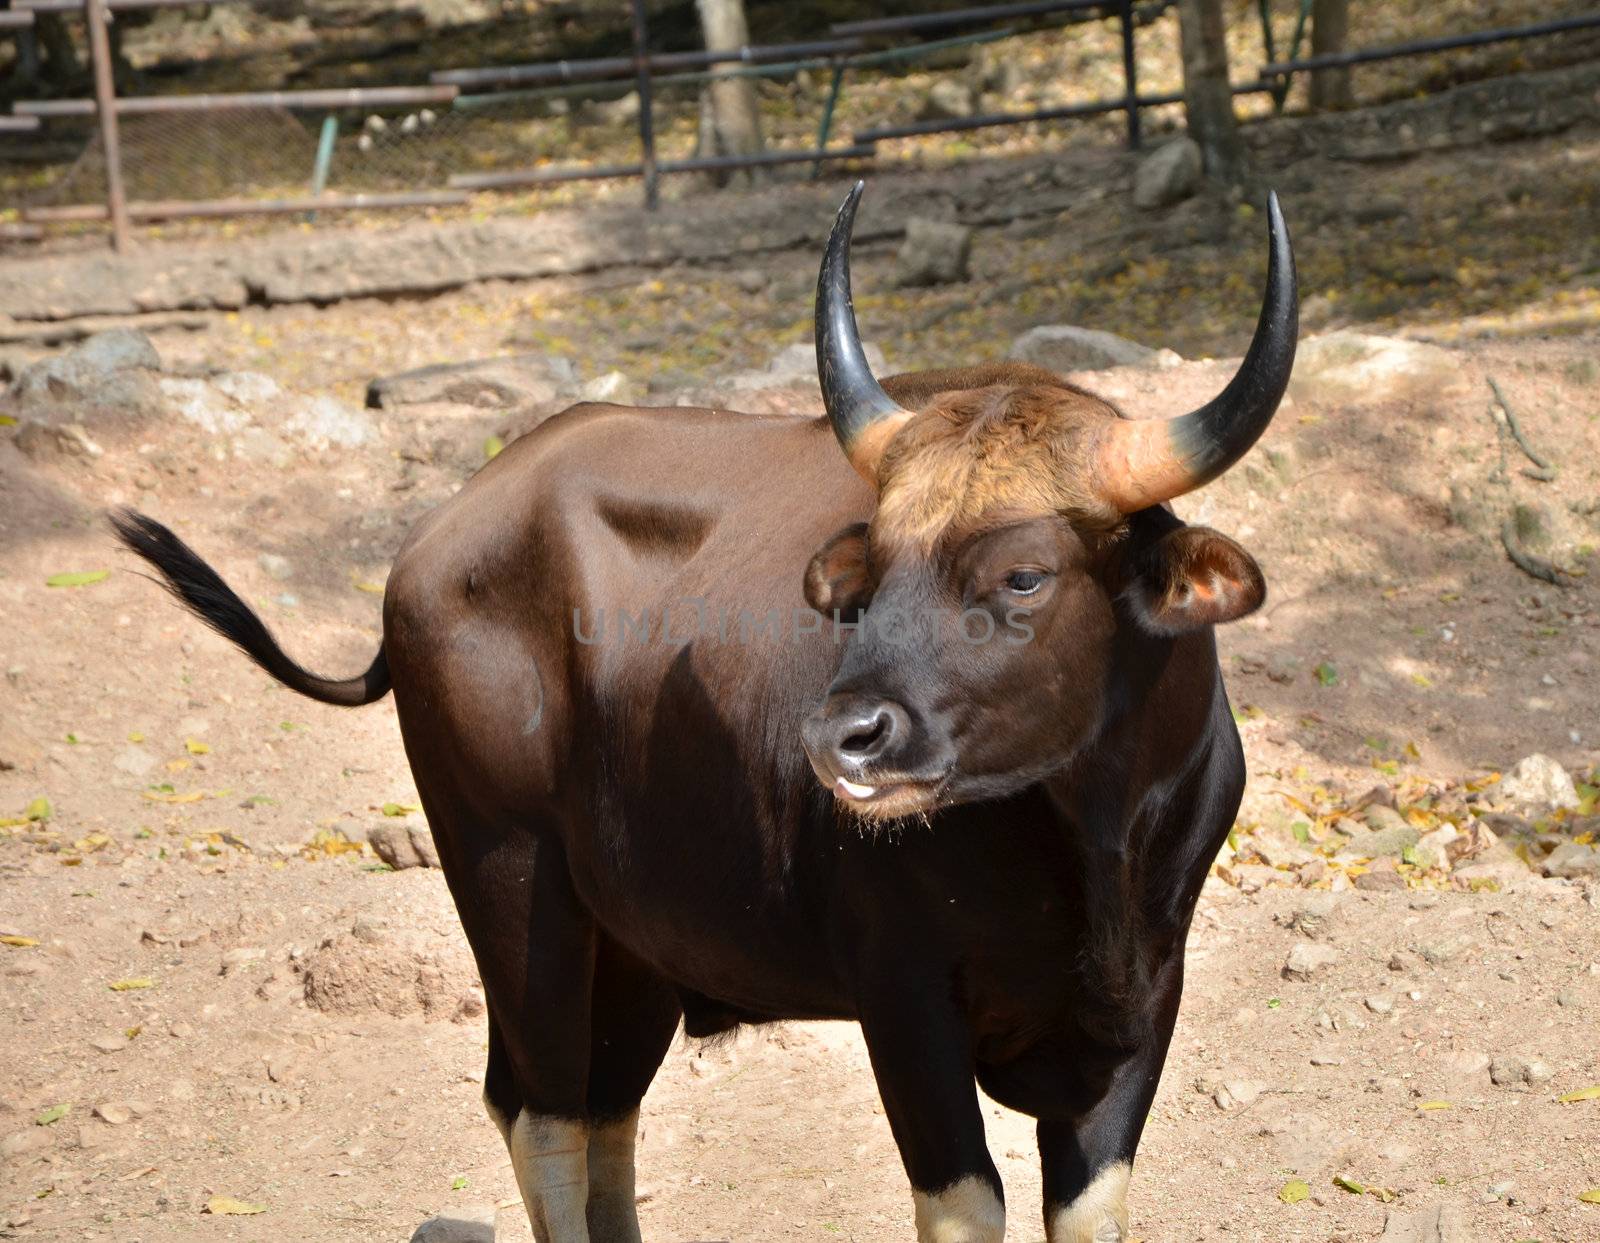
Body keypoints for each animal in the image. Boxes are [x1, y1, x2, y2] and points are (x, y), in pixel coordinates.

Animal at [118, 186, 1299, 1241]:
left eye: (1023, 574)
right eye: (873, 569)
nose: (844, 739)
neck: (1087, 847)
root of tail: (437, 543)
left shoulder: (1144, 1002)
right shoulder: (903, 997)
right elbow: (964, 1202)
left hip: (636, 936)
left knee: (602, 1111)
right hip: (509, 879)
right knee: (542, 1109)